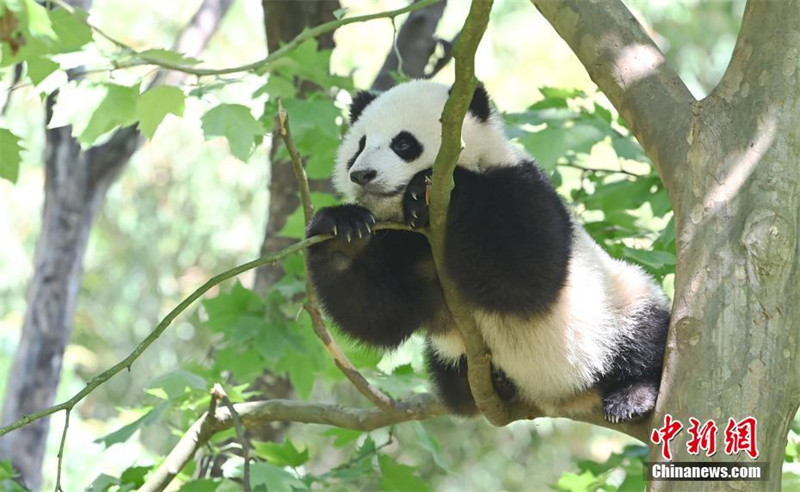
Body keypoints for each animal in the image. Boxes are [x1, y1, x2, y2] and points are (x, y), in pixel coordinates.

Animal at [306, 80, 670, 423]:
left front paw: (433, 188)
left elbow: (524, 278)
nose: (361, 174)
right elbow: (380, 315)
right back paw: (487, 385)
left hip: (611, 306)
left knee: (644, 333)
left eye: (403, 144)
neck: (427, 231)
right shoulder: (403, 243)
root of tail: (565, 398)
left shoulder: (520, 186)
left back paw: (631, 396)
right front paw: (342, 230)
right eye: (360, 145)